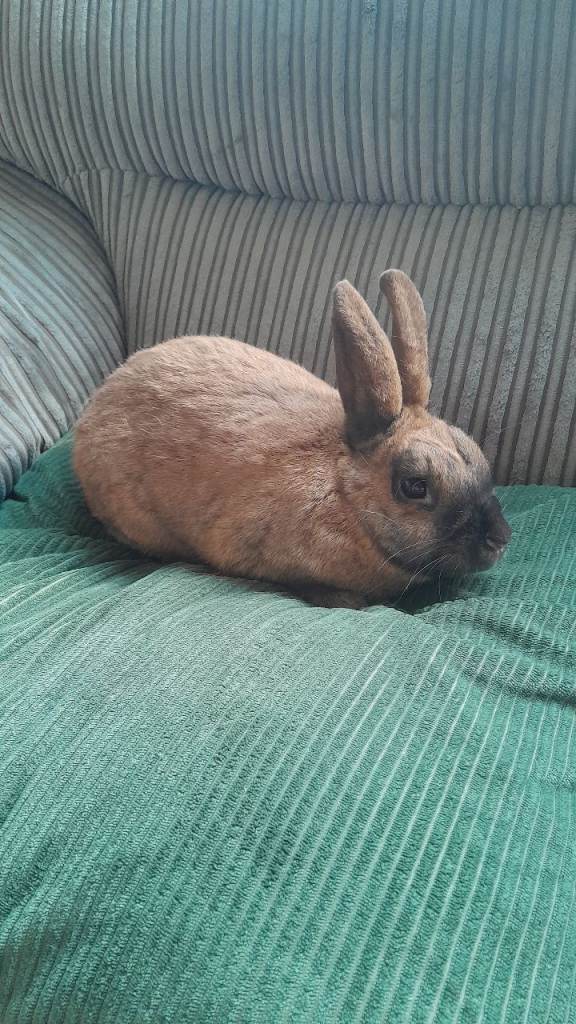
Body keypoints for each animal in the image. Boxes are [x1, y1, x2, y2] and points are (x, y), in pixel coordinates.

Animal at [73, 270, 511, 609]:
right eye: (415, 486)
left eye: (477, 454)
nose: (500, 539)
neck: (344, 493)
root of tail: (100, 397)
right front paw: (346, 601)